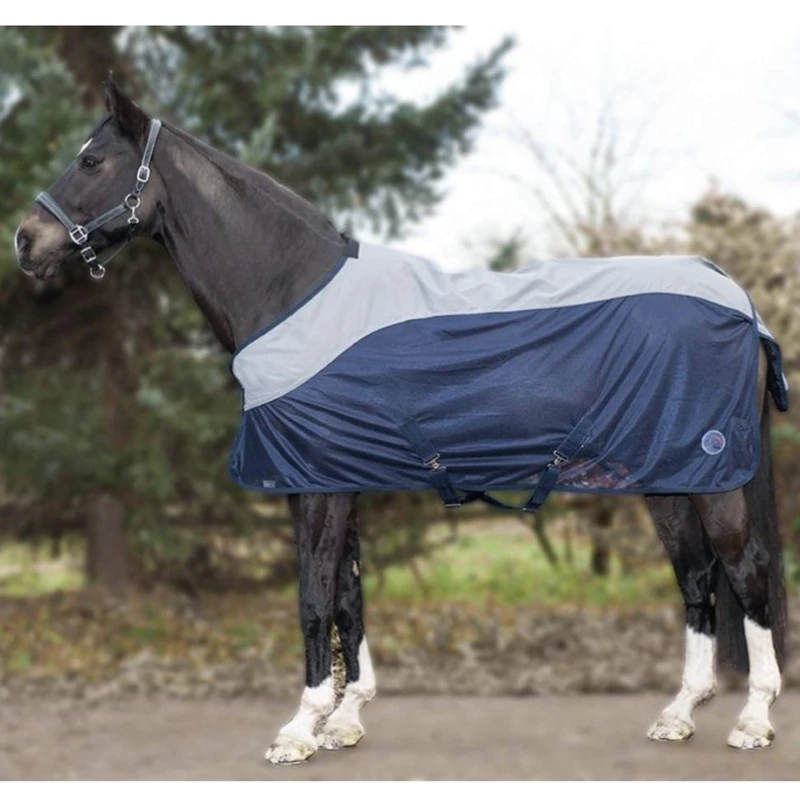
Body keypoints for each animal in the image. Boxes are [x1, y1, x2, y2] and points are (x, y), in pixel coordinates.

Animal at [14, 76, 788, 765]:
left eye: (92, 160)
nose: (25, 240)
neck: (293, 293)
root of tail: (737, 297)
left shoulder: (315, 485)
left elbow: (313, 597)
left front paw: (299, 728)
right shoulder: (337, 480)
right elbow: (348, 596)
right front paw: (346, 718)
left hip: (712, 477)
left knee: (744, 570)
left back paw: (753, 717)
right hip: (669, 480)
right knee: (696, 576)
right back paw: (680, 712)